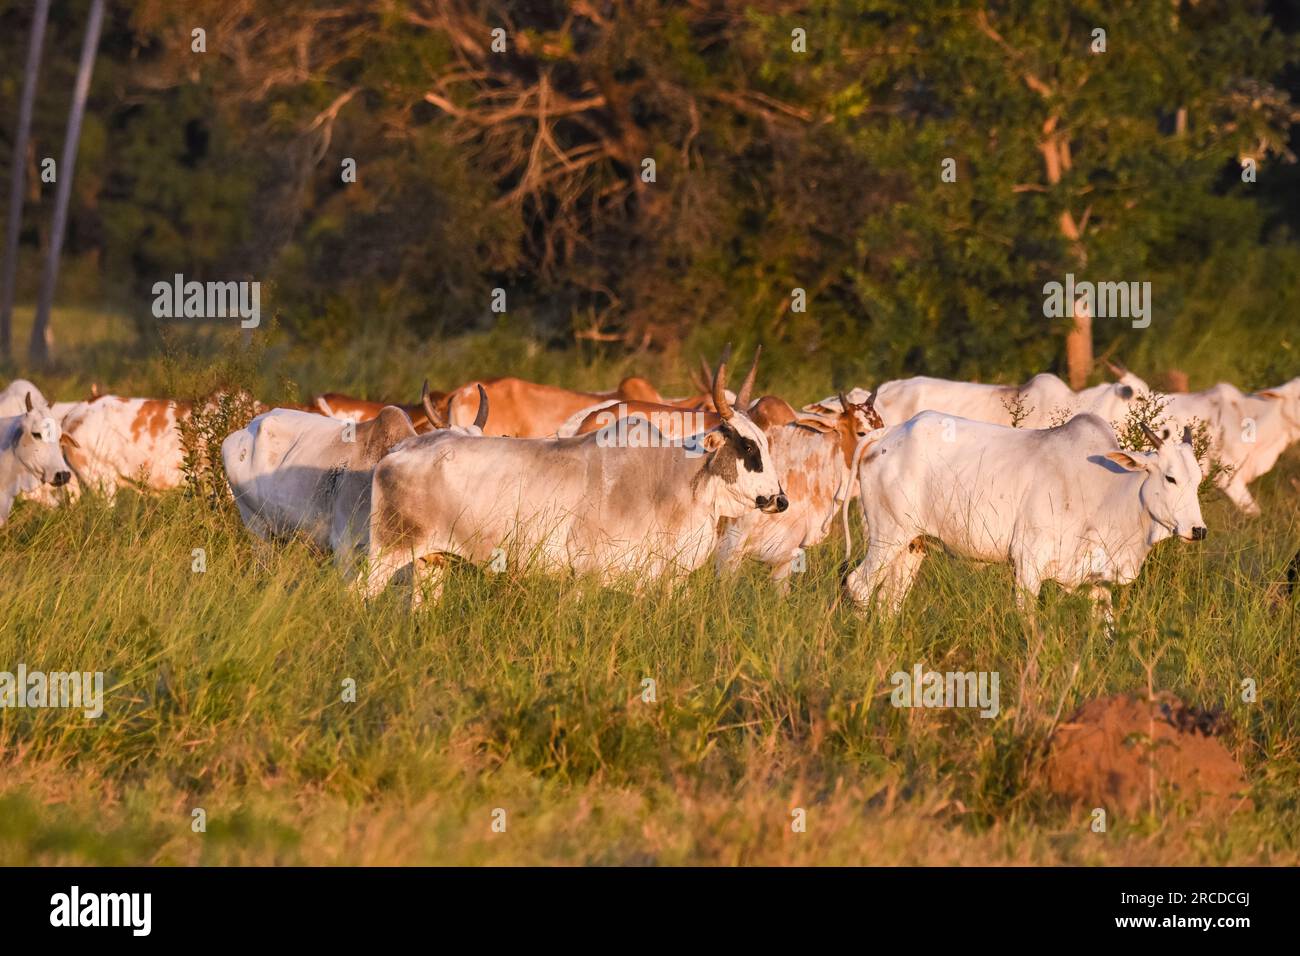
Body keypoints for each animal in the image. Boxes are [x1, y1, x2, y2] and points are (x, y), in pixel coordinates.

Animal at [364, 353, 780, 606]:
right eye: (746, 445)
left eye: (765, 441)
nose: (781, 499)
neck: (672, 479)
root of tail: (400, 450)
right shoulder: (588, 574)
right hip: (386, 554)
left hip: (430, 562)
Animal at [842, 416, 1206, 616]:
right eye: (1170, 478)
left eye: (1198, 480)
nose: (1198, 530)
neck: (1106, 490)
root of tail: (888, 434)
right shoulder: (1028, 565)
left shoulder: (1097, 581)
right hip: (887, 536)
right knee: (858, 586)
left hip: (913, 545)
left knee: (889, 601)